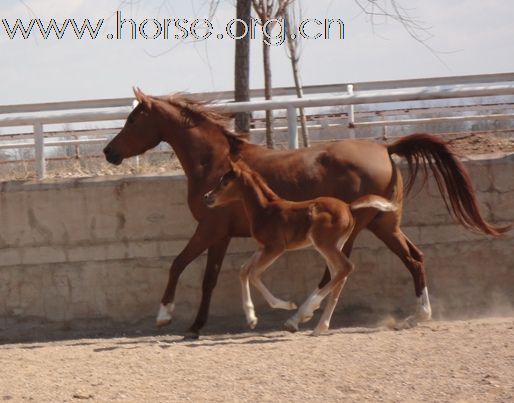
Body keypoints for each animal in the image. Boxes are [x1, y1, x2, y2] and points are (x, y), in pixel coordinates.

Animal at [204, 159, 396, 336]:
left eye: (225, 182)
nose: (207, 196)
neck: (265, 210)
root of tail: (348, 207)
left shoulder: (275, 247)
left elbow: (253, 274)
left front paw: (287, 305)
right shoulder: (262, 247)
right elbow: (244, 270)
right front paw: (251, 319)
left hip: (324, 244)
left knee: (346, 268)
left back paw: (306, 313)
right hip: (334, 245)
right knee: (338, 275)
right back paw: (319, 326)